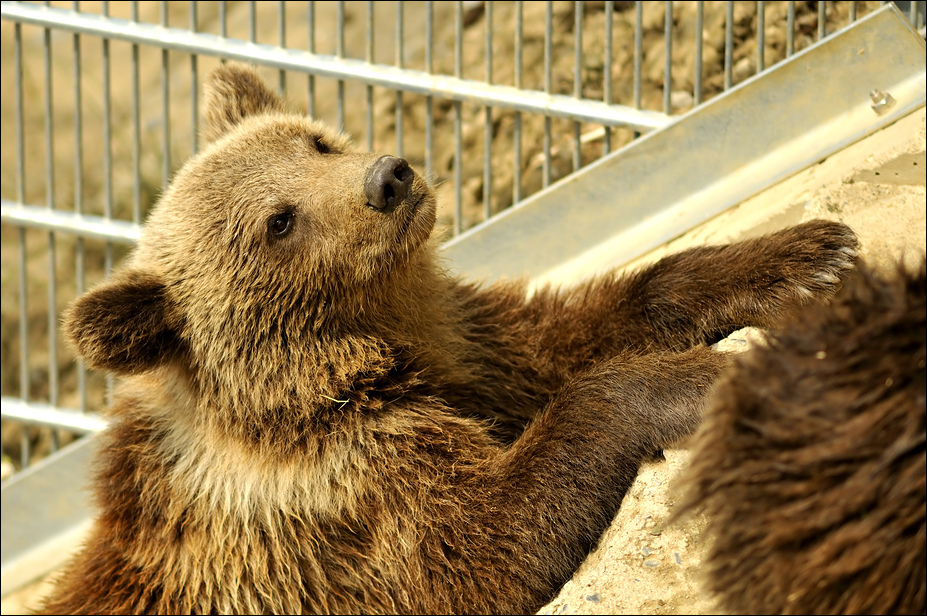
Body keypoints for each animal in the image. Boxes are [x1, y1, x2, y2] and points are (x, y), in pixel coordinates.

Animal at [39, 63, 859, 615]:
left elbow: (573, 332)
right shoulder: (340, 503)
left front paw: (805, 256)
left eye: (314, 141)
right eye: (278, 221)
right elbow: (481, 545)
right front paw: (697, 380)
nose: (388, 177)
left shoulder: (466, 348)